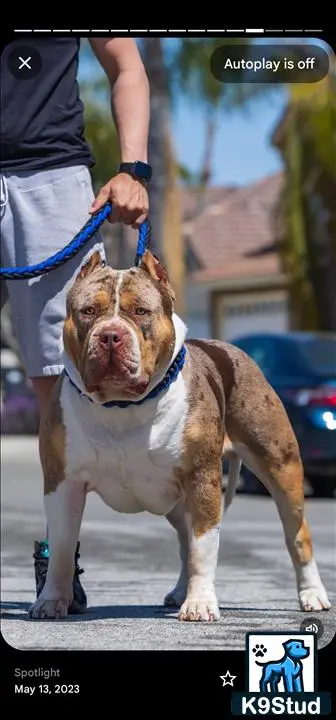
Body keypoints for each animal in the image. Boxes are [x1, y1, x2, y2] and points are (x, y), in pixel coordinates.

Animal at [28, 250, 330, 620]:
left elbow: (204, 547)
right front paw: (52, 599)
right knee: (185, 540)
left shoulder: (202, 479)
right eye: (88, 311)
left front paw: (200, 603)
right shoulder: (63, 484)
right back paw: (179, 591)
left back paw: (312, 594)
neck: (121, 406)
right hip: (177, 500)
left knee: (296, 534)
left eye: (140, 311)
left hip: (280, 469)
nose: (110, 335)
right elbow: (62, 547)